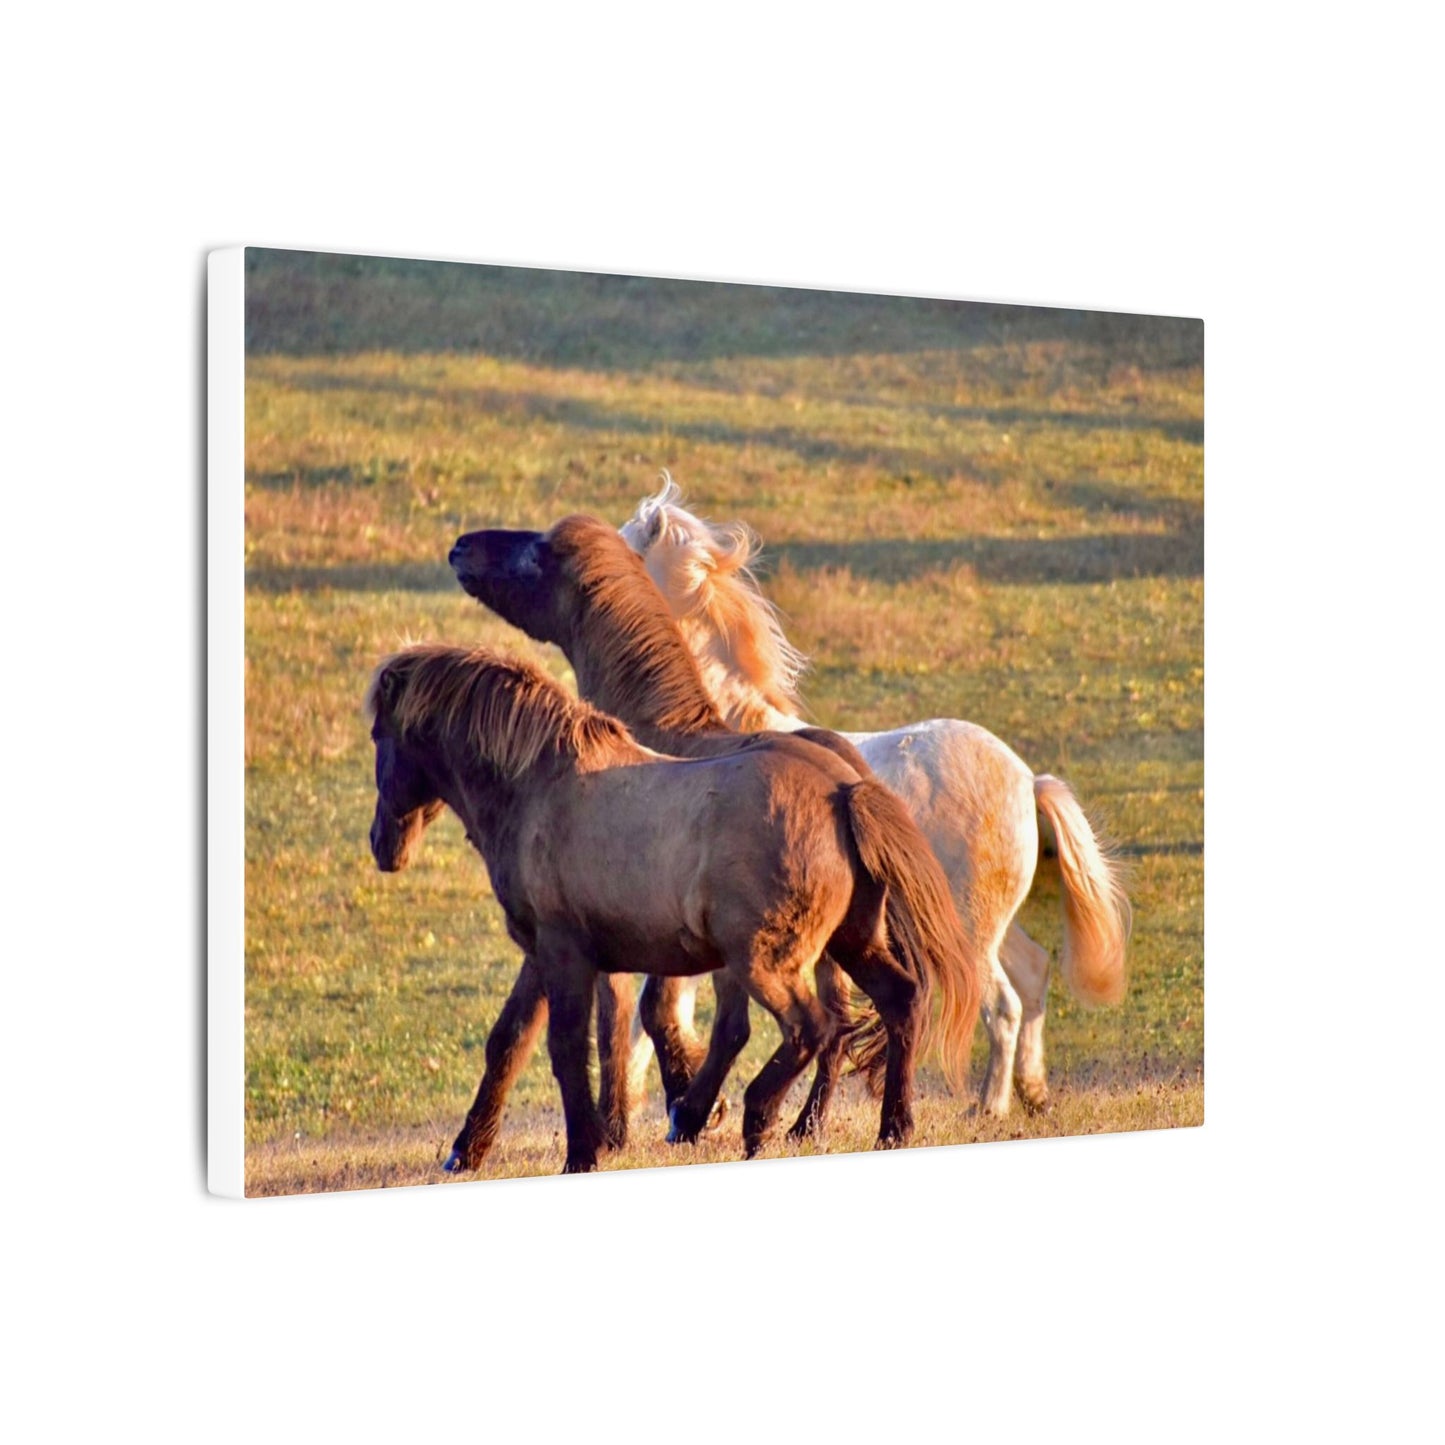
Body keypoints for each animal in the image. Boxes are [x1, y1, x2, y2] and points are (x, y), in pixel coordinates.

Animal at [367, 644, 981, 1172]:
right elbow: (509, 1042)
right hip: (852, 941)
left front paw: (583, 1153)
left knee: (813, 1027)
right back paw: (891, 1128)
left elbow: (566, 1049)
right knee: (900, 1001)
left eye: (378, 734)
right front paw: (468, 1149)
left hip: (765, 961)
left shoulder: (564, 953)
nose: (382, 844)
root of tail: (842, 792)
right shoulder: (541, 954)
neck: (542, 786)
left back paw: (753, 1118)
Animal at [619, 477, 1131, 1115]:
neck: (714, 732)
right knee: (1034, 976)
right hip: (991, 925)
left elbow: (654, 1016)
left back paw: (987, 1106)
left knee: (1003, 1004)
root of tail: (1025, 780)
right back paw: (1031, 1094)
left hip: (968, 932)